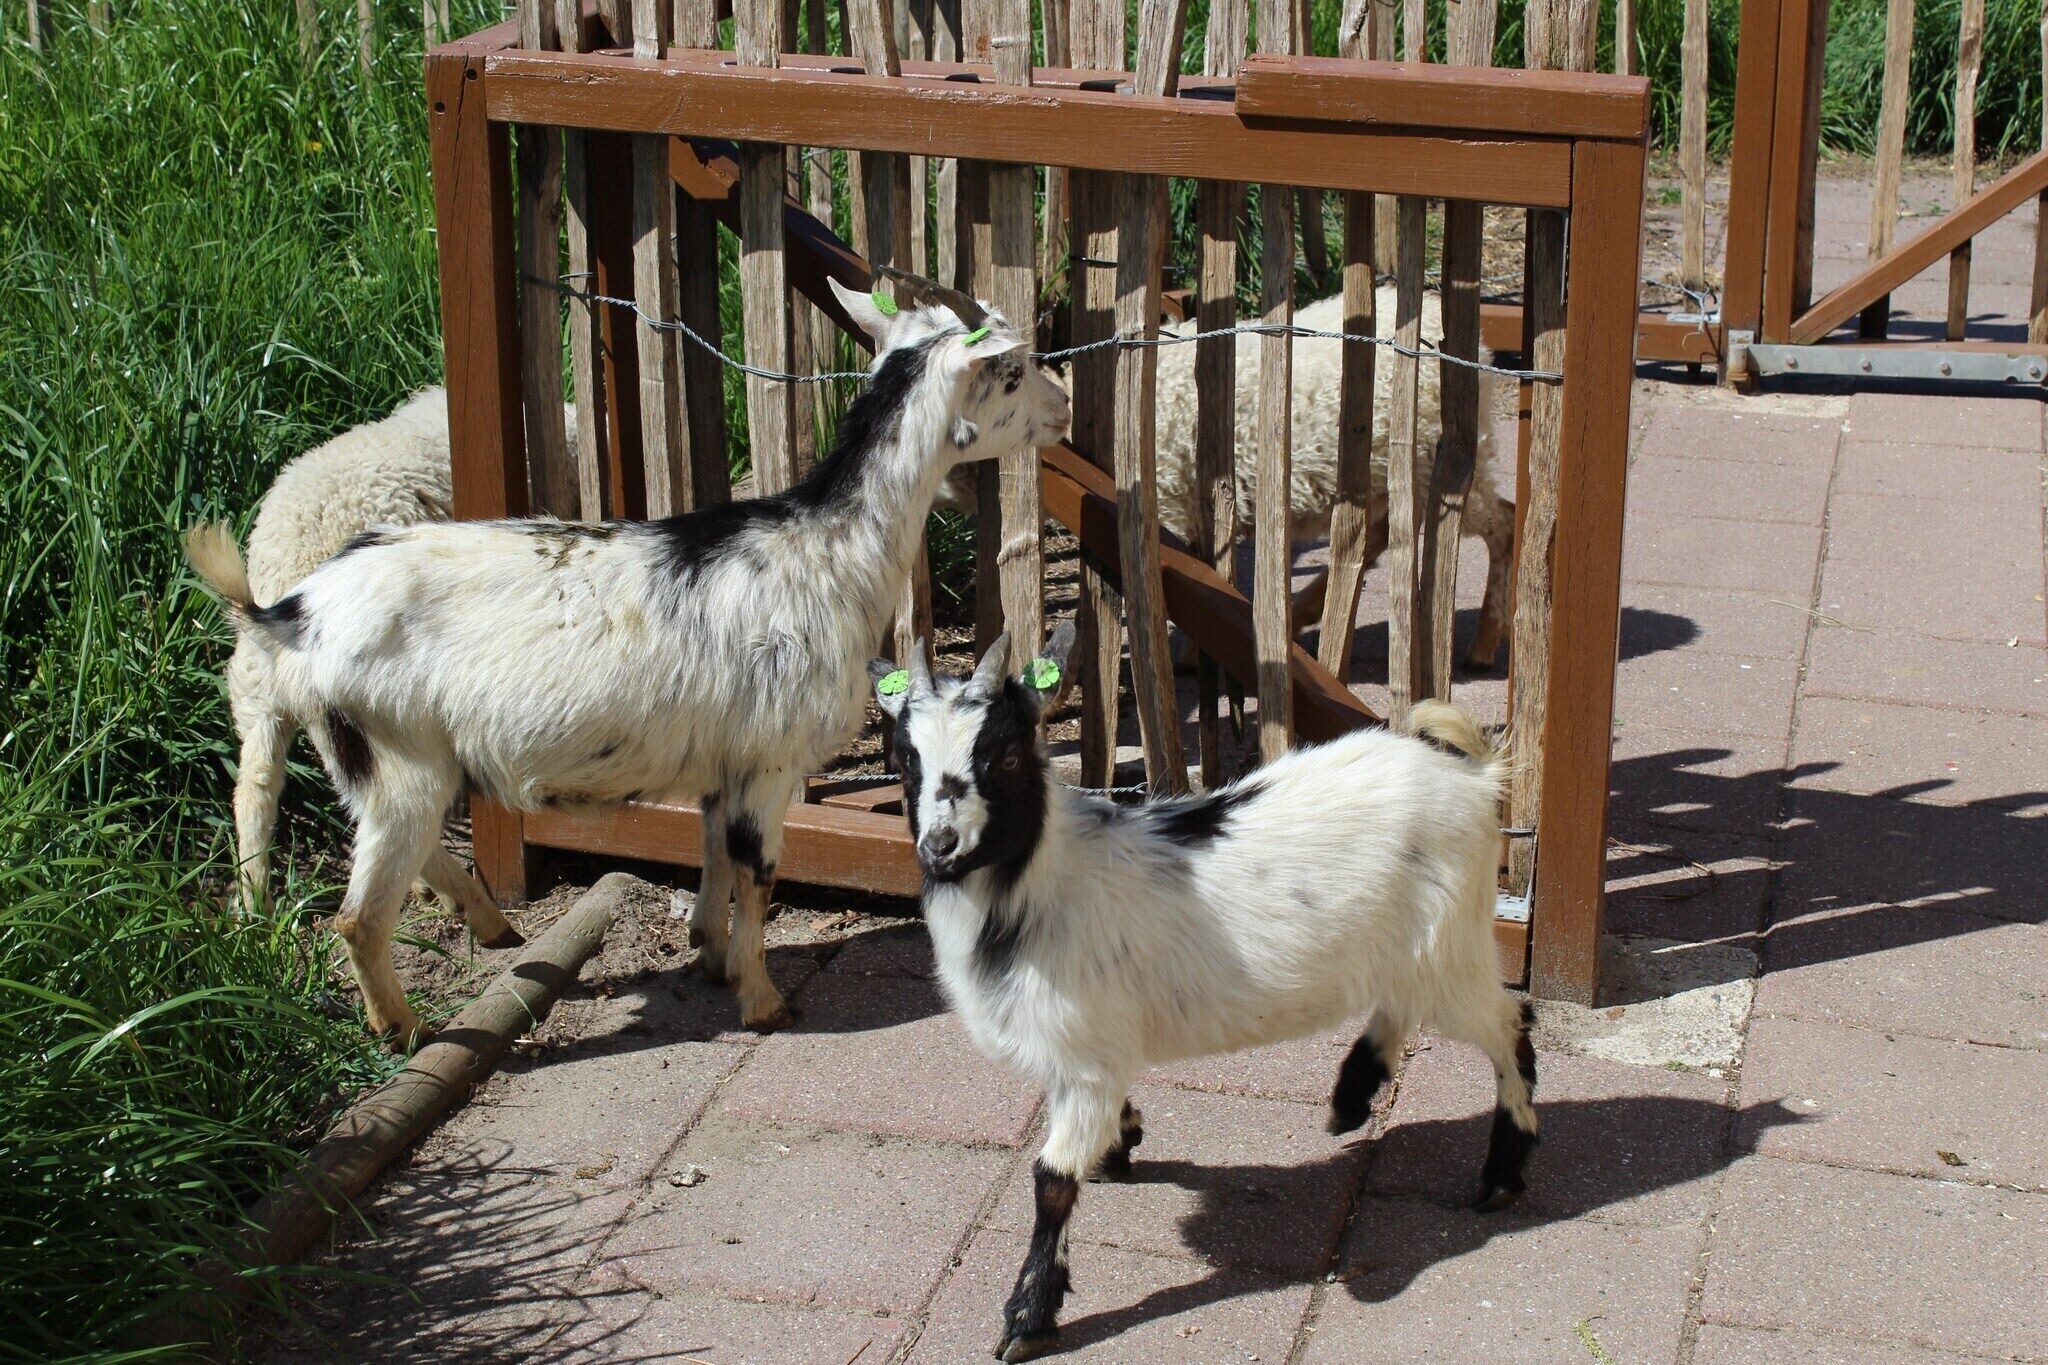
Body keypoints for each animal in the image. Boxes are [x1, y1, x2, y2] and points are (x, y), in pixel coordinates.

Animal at [184, 281, 1071, 1045]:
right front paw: (763, 1001)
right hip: (398, 751)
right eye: (1012, 369)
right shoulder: (770, 757)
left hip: (364, 752)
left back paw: (490, 924)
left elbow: (713, 854)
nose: (1063, 407)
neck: (826, 547)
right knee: (360, 912)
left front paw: (710, 955)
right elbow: (759, 872)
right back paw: (403, 1028)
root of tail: (293, 611)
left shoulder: (725, 755)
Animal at [870, 627, 1537, 1361]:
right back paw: (1353, 1095)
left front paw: (1028, 1316)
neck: (1039, 881)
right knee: (1405, 1004)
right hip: (1417, 946)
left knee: (1509, 1024)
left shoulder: (1085, 1058)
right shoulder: (1086, 1051)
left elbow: (1052, 1180)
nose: (941, 845)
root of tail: (1471, 776)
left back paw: (1502, 1172)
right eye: (904, 759)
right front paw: (1122, 1139)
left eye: (1008, 753)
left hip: (1450, 946)